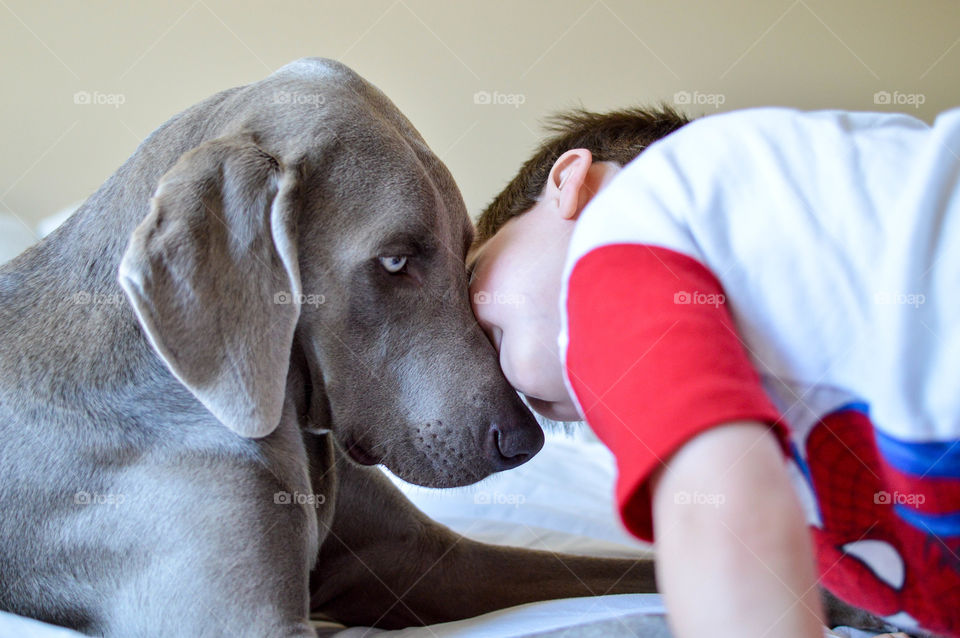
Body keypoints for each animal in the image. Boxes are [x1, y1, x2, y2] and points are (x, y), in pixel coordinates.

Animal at [0, 57, 656, 636]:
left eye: (467, 259)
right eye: (395, 261)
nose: (523, 440)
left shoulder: (430, 559)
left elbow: (626, 569)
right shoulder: (242, 621)